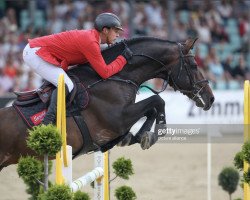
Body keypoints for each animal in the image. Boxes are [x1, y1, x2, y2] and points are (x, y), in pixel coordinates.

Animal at [0, 36, 214, 170]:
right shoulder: (118, 118)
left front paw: (137, 137)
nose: (210, 99)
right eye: (194, 65)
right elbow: (157, 100)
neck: (116, 77)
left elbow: (151, 108)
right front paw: (155, 132)